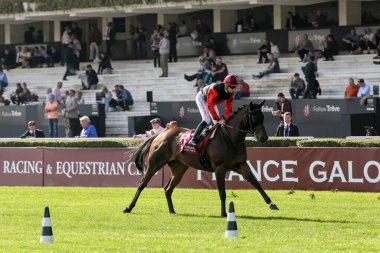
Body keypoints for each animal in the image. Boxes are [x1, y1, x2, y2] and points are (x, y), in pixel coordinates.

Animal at [124, 100, 280, 216]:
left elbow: (256, 183)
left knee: (168, 189)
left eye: (263, 117)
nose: (264, 138)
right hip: (154, 164)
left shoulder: (241, 165)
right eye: (254, 118)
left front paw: (272, 203)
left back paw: (172, 211)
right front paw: (224, 213)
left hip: (179, 168)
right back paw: (129, 207)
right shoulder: (219, 168)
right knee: (142, 184)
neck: (230, 138)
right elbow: (222, 192)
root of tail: (161, 134)